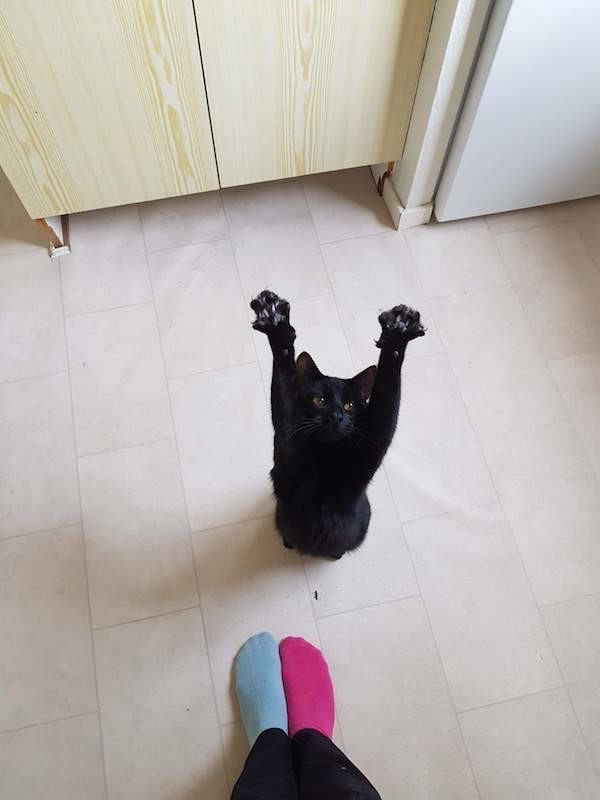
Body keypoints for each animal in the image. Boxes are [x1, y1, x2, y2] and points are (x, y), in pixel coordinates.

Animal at [250, 289, 425, 559]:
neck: (327, 455)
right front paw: (275, 322)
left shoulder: (371, 446)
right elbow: (283, 388)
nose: (336, 416)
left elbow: (387, 395)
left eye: (350, 405)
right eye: (319, 400)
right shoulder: (288, 445)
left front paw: (398, 333)